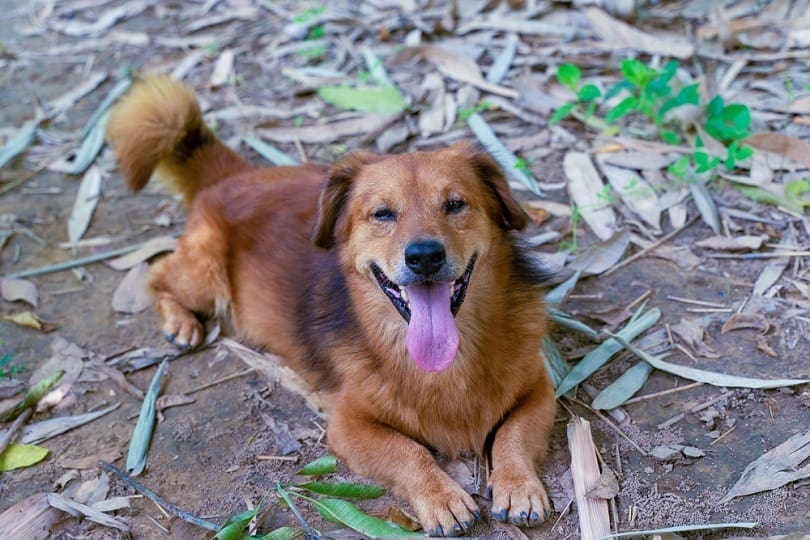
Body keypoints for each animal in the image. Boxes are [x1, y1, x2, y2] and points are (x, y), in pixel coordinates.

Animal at [105, 76, 556, 536]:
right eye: (382, 214)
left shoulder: (539, 389)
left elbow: (513, 434)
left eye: (455, 204)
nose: (425, 256)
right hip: (205, 276)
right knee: (157, 272)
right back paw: (180, 323)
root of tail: (234, 176)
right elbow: (407, 451)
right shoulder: (349, 424)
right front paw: (441, 497)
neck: (446, 366)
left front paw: (518, 485)